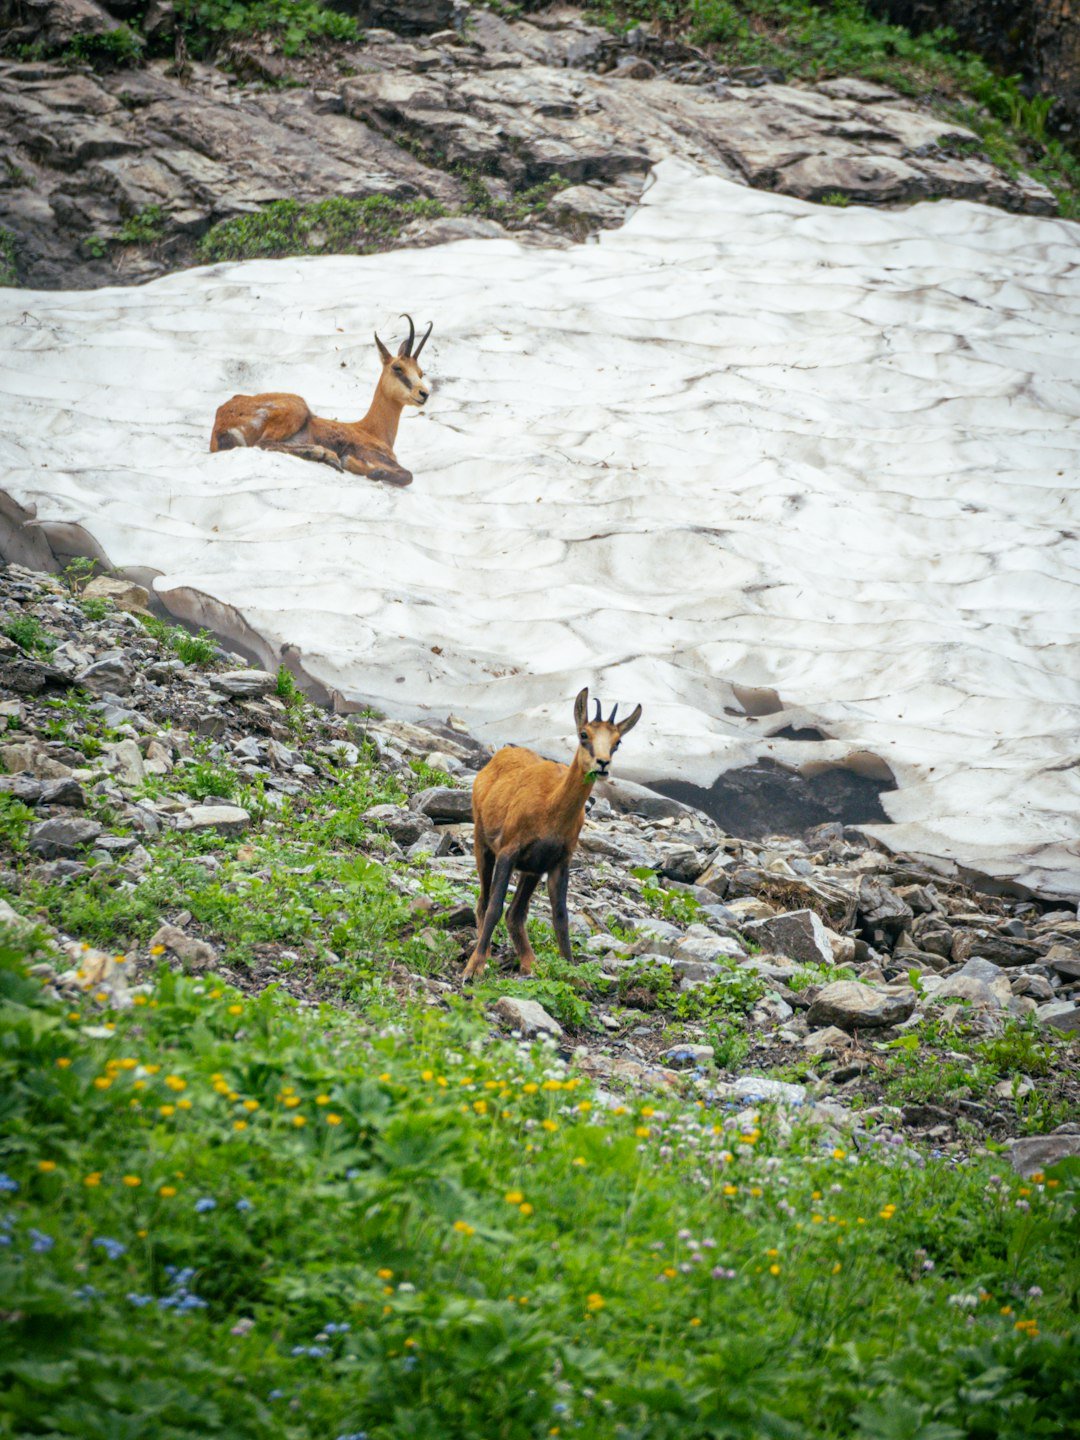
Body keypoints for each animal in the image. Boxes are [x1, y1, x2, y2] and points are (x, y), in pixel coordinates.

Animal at [209, 314, 433, 487]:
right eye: (397, 368)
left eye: (420, 372)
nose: (423, 393)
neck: (373, 430)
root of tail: (222, 418)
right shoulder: (371, 454)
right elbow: (407, 474)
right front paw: (360, 467)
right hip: (297, 408)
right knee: (264, 444)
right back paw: (326, 455)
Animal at [462, 688, 643, 984]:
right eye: (584, 734)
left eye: (618, 741)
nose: (603, 764)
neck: (550, 809)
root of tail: (498, 757)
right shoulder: (508, 851)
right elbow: (494, 907)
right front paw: (473, 968)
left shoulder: (558, 862)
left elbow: (561, 916)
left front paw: (572, 973)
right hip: (482, 842)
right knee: (485, 902)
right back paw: (485, 954)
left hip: (532, 870)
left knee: (516, 913)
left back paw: (530, 963)